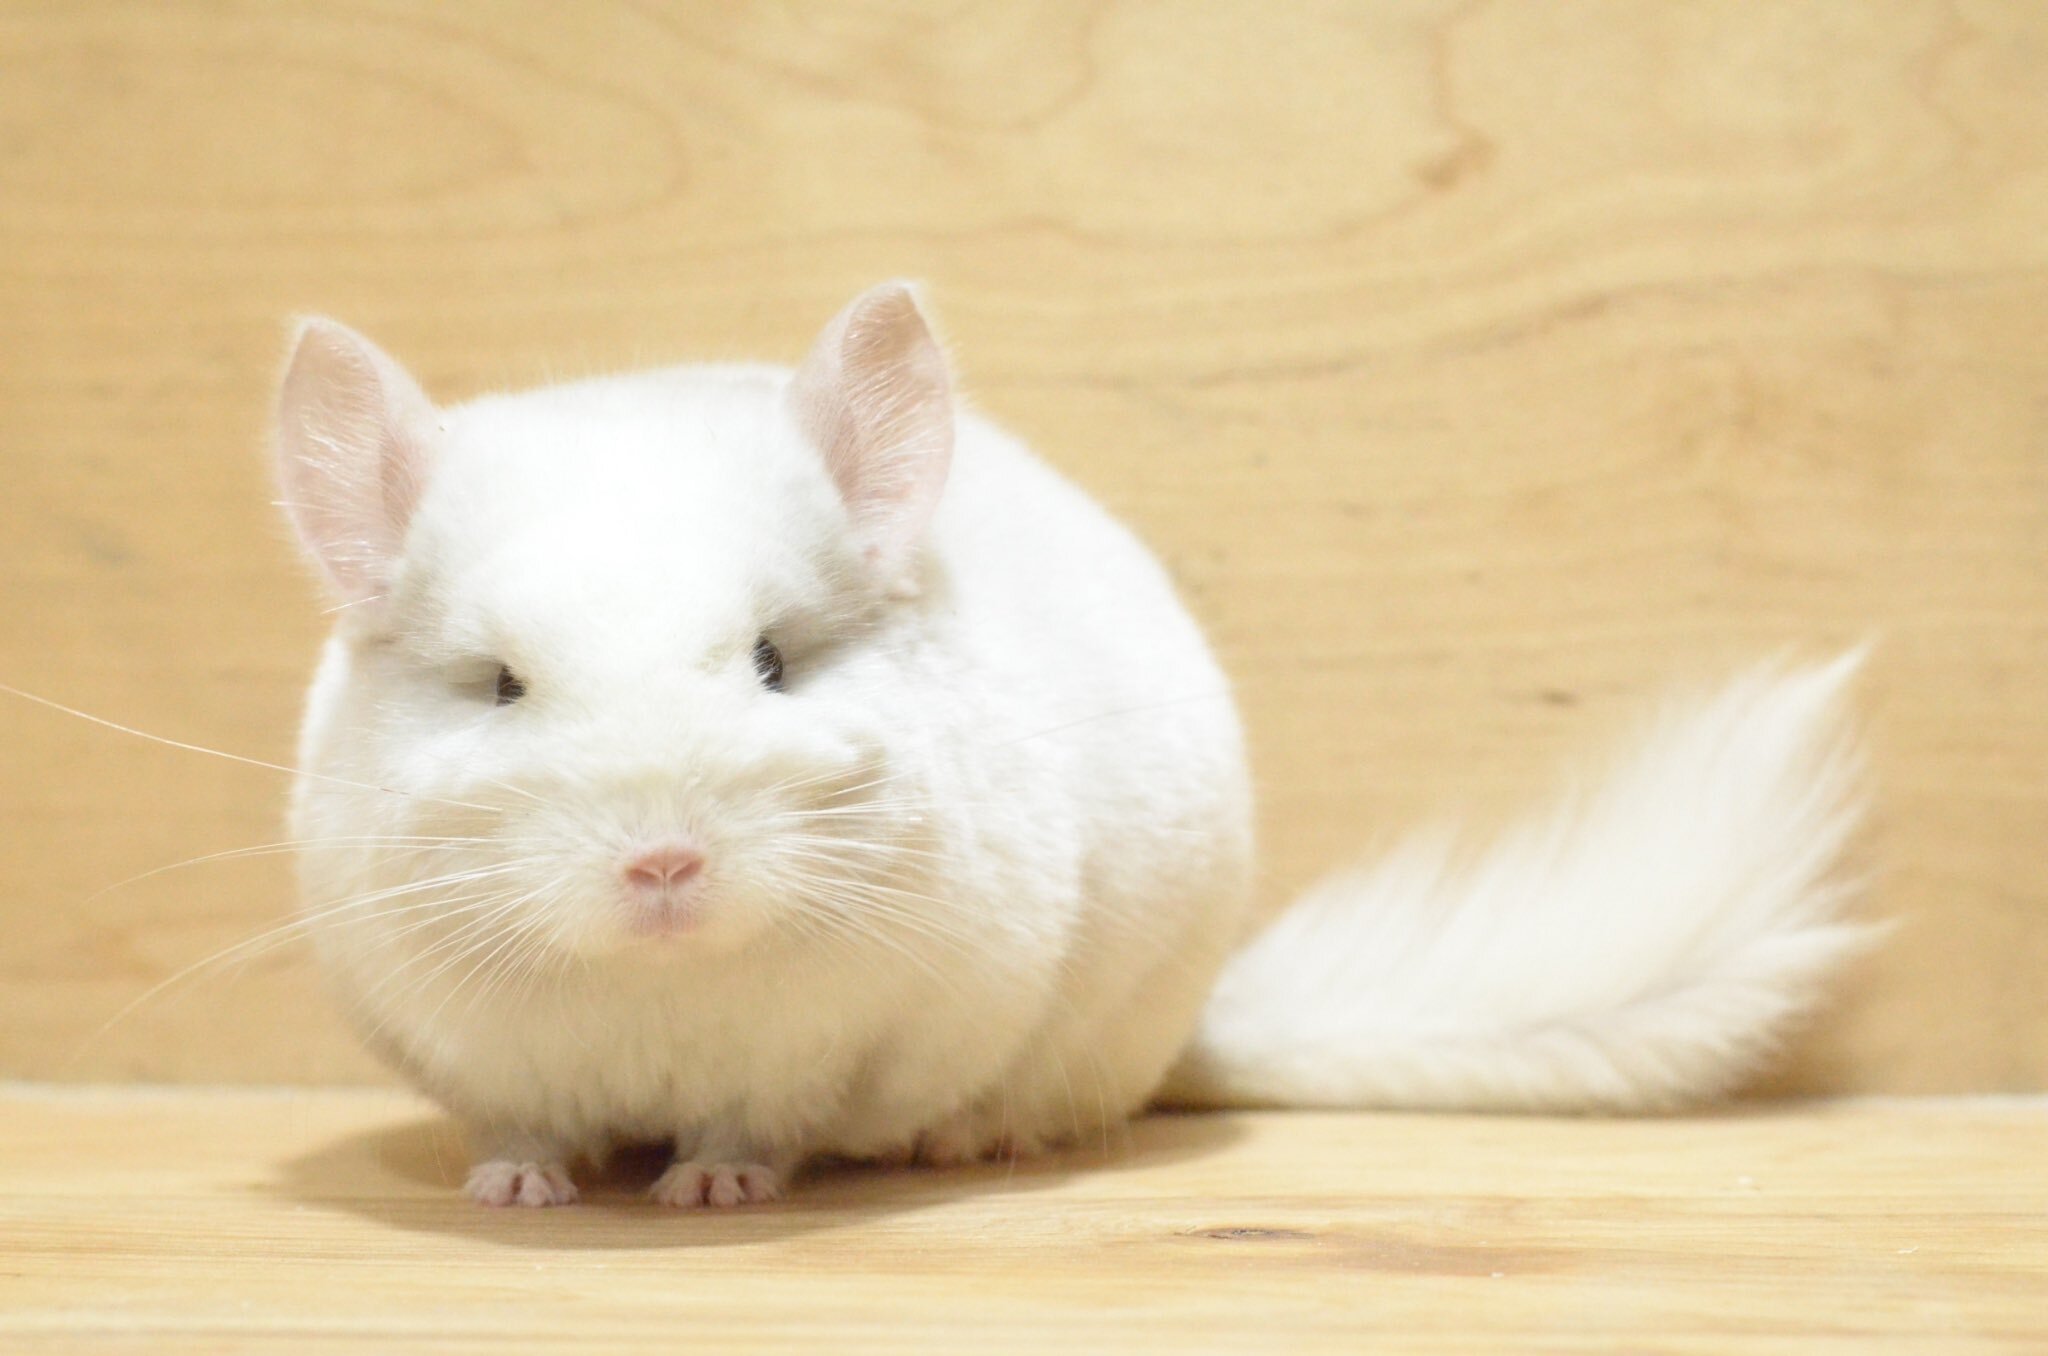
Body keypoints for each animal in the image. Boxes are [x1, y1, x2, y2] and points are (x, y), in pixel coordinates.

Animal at [274, 281, 1868, 1207]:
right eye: (499, 686)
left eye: (775, 660)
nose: (663, 863)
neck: (653, 990)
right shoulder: (468, 1058)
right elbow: (517, 1130)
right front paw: (514, 1193)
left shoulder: (831, 1052)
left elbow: (755, 1127)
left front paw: (712, 1192)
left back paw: (965, 1143)